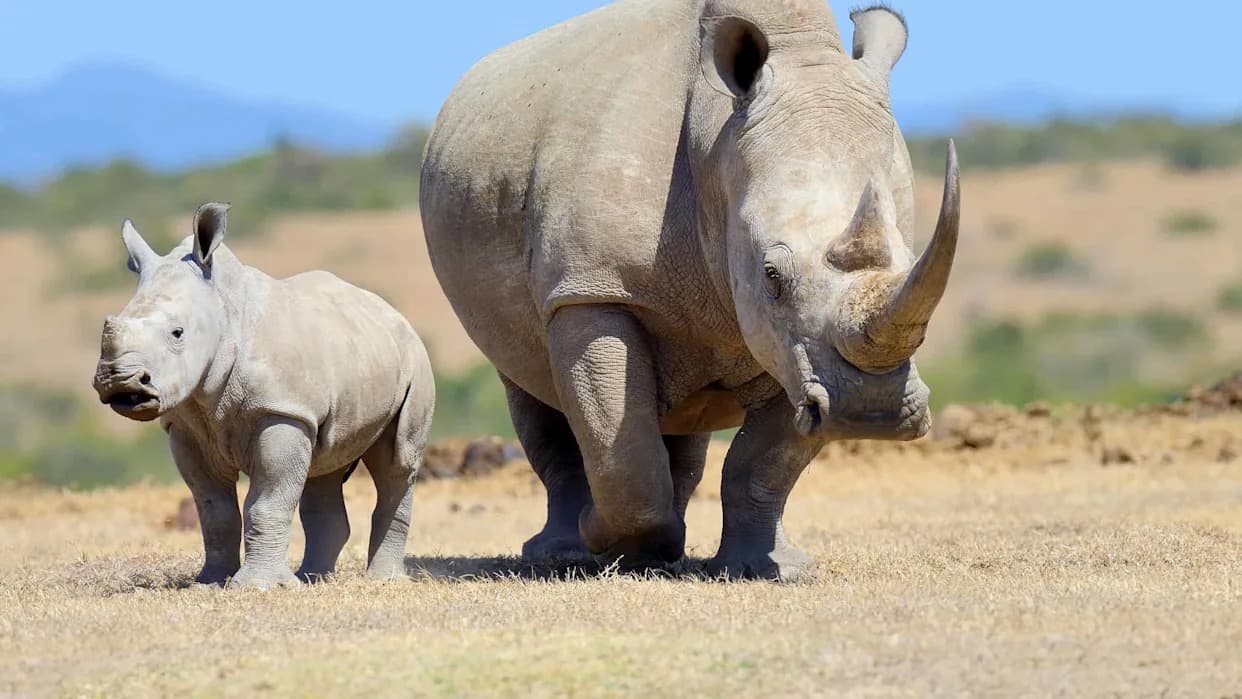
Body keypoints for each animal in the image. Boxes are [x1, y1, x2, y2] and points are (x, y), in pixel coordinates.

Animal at [92, 203, 435, 589]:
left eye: (177, 333)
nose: (121, 382)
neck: (223, 311)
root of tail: (394, 314)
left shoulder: (282, 411)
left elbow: (267, 501)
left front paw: (256, 586)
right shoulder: (184, 425)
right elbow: (213, 509)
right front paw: (210, 581)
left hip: (414, 362)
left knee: (397, 462)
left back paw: (382, 581)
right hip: (345, 364)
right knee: (324, 465)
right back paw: (311, 578)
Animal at [421, 0, 959, 580]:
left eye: (912, 263)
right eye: (772, 276)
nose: (870, 411)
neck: (715, 139)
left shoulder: (794, 350)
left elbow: (764, 461)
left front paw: (769, 569)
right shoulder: (591, 288)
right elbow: (621, 453)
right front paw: (604, 541)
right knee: (531, 387)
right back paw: (566, 553)